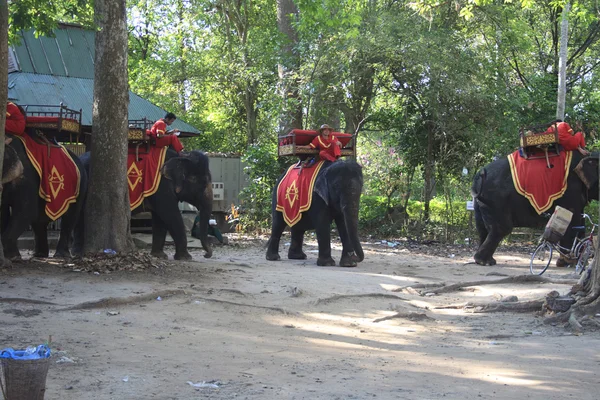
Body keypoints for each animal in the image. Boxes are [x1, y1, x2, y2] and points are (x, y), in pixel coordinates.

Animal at [77, 148, 213, 260]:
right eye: (200, 181)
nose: (206, 255)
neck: (180, 156)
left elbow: (159, 219)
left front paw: (159, 256)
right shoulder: (162, 187)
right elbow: (171, 215)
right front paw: (186, 258)